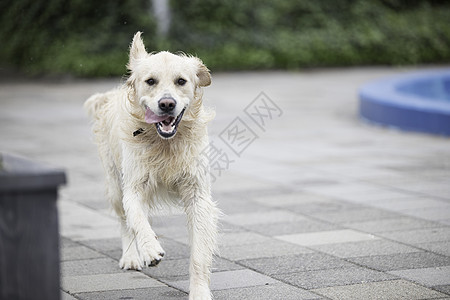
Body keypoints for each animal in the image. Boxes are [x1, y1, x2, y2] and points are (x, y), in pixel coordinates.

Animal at [84, 31, 220, 298]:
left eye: (181, 81)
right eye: (150, 81)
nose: (167, 103)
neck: (165, 143)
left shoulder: (198, 195)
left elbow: (199, 253)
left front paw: (199, 291)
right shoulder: (133, 187)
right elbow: (137, 219)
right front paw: (149, 249)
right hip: (115, 184)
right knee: (124, 222)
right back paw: (131, 257)